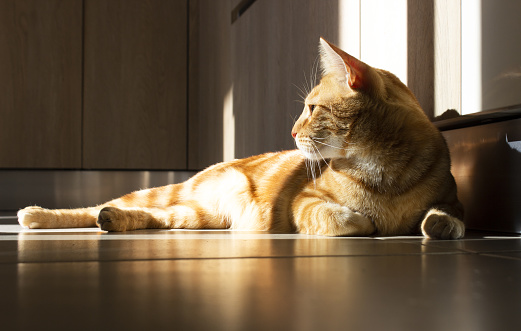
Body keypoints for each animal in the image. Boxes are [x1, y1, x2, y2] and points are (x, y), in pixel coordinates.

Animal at [15, 38, 464, 239]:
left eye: (312, 109)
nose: (291, 131)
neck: (381, 168)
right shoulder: (305, 201)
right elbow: (340, 219)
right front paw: (364, 221)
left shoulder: (451, 196)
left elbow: (447, 215)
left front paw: (438, 225)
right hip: (177, 193)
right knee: (103, 205)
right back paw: (35, 215)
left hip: (198, 216)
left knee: (156, 216)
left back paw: (113, 221)